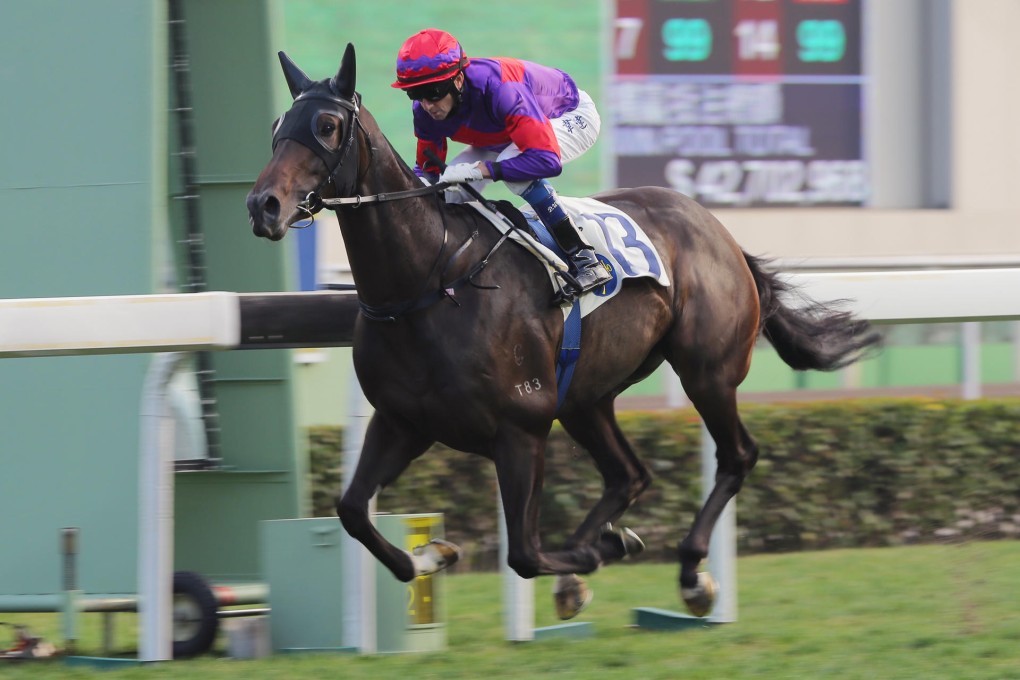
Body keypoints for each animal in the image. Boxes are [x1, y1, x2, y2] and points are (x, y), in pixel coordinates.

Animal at [246, 41, 885, 615]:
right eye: (278, 124)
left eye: (328, 125)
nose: (263, 206)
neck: (431, 278)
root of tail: (719, 231)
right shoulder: (402, 420)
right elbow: (353, 510)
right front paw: (431, 556)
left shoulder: (521, 428)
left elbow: (525, 553)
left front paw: (598, 554)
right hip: (585, 396)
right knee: (629, 475)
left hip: (706, 371)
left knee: (736, 456)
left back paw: (687, 571)